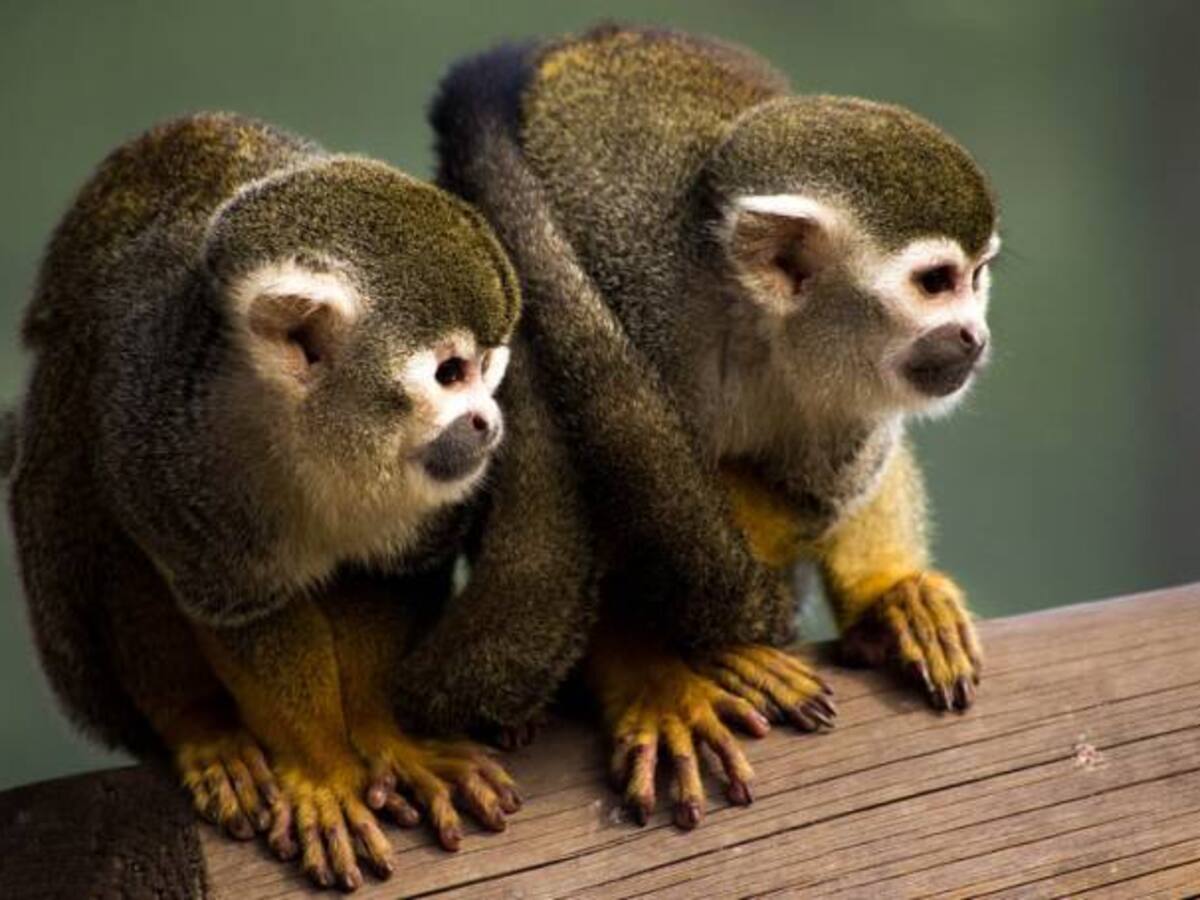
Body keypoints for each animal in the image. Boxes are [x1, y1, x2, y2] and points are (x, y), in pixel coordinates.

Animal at [6, 112, 593, 889]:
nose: (488, 424)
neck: (316, 434)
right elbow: (241, 607)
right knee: (87, 493)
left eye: (489, 370)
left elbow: (385, 577)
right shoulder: (169, 436)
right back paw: (199, 727)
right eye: (449, 374)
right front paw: (322, 771)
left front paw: (383, 735)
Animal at [430, 24, 995, 828]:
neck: (754, 321)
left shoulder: (858, 392)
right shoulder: (631, 279)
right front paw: (655, 675)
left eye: (978, 277)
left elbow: (807, 496)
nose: (975, 335)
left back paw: (890, 594)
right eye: (936, 283)